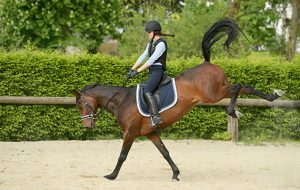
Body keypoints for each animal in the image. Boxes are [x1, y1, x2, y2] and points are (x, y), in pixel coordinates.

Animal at [74, 18, 282, 180]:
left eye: (81, 104)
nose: (87, 126)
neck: (122, 101)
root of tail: (207, 63)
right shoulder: (151, 133)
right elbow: (164, 151)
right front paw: (175, 173)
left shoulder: (130, 133)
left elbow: (122, 156)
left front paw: (112, 175)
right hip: (219, 90)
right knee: (245, 87)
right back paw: (272, 96)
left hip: (213, 94)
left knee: (237, 87)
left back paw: (234, 110)